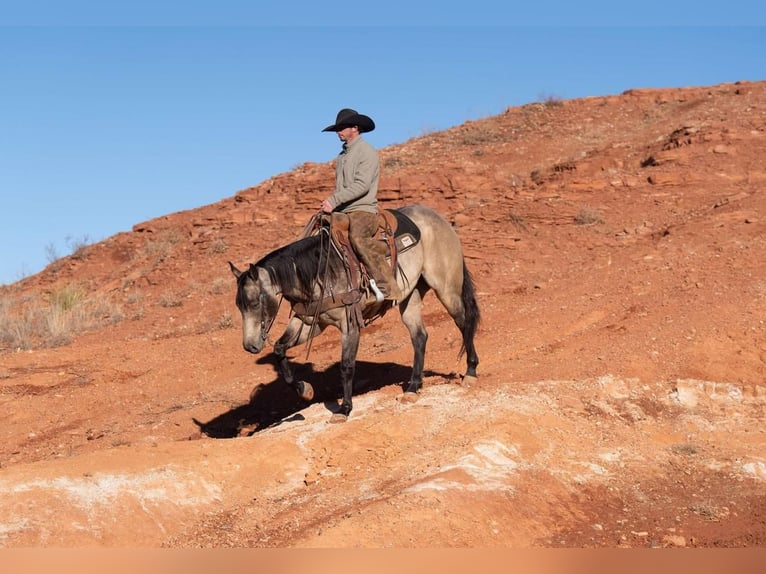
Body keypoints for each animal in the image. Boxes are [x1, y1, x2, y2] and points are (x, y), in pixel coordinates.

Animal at [230, 205, 480, 426]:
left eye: (254, 303)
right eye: (238, 306)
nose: (249, 346)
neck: (318, 271)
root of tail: (439, 218)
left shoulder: (349, 325)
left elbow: (346, 366)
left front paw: (344, 409)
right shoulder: (310, 322)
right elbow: (280, 349)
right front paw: (305, 389)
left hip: (446, 287)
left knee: (464, 322)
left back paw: (470, 372)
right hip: (411, 296)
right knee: (419, 336)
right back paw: (413, 387)